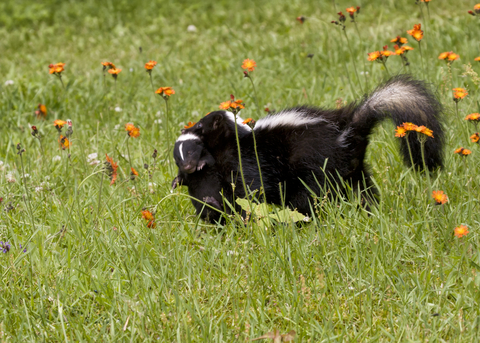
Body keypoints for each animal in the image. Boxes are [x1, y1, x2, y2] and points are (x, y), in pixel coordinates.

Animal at [179, 74, 442, 215]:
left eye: (200, 127)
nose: (185, 130)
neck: (238, 136)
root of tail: (346, 130)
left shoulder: (248, 159)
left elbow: (252, 187)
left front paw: (245, 209)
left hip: (314, 164)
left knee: (310, 195)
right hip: (353, 169)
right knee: (362, 188)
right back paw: (369, 210)